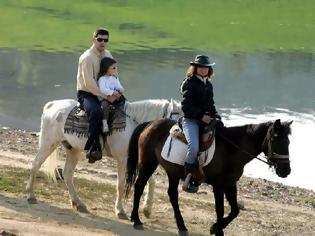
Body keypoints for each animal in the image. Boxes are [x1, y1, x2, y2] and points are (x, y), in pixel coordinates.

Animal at [25, 98, 181, 219]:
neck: (134, 126)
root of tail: (52, 105)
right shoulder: (123, 159)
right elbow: (121, 184)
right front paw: (120, 210)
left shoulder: (135, 160)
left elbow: (151, 181)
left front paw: (147, 209)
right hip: (48, 143)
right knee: (35, 165)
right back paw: (31, 195)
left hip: (73, 150)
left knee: (67, 174)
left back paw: (78, 203)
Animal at [124, 119, 292, 235]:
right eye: (275, 138)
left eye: (288, 142)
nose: (286, 171)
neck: (231, 149)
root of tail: (150, 123)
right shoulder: (219, 186)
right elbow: (220, 210)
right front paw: (216, 229)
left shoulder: (230, 184)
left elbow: (235, 211)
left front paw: (216, 228)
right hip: (147, 164)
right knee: (139, 186)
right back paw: (136, 220)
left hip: (172, 172)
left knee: (172, 195)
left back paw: (181, 226)